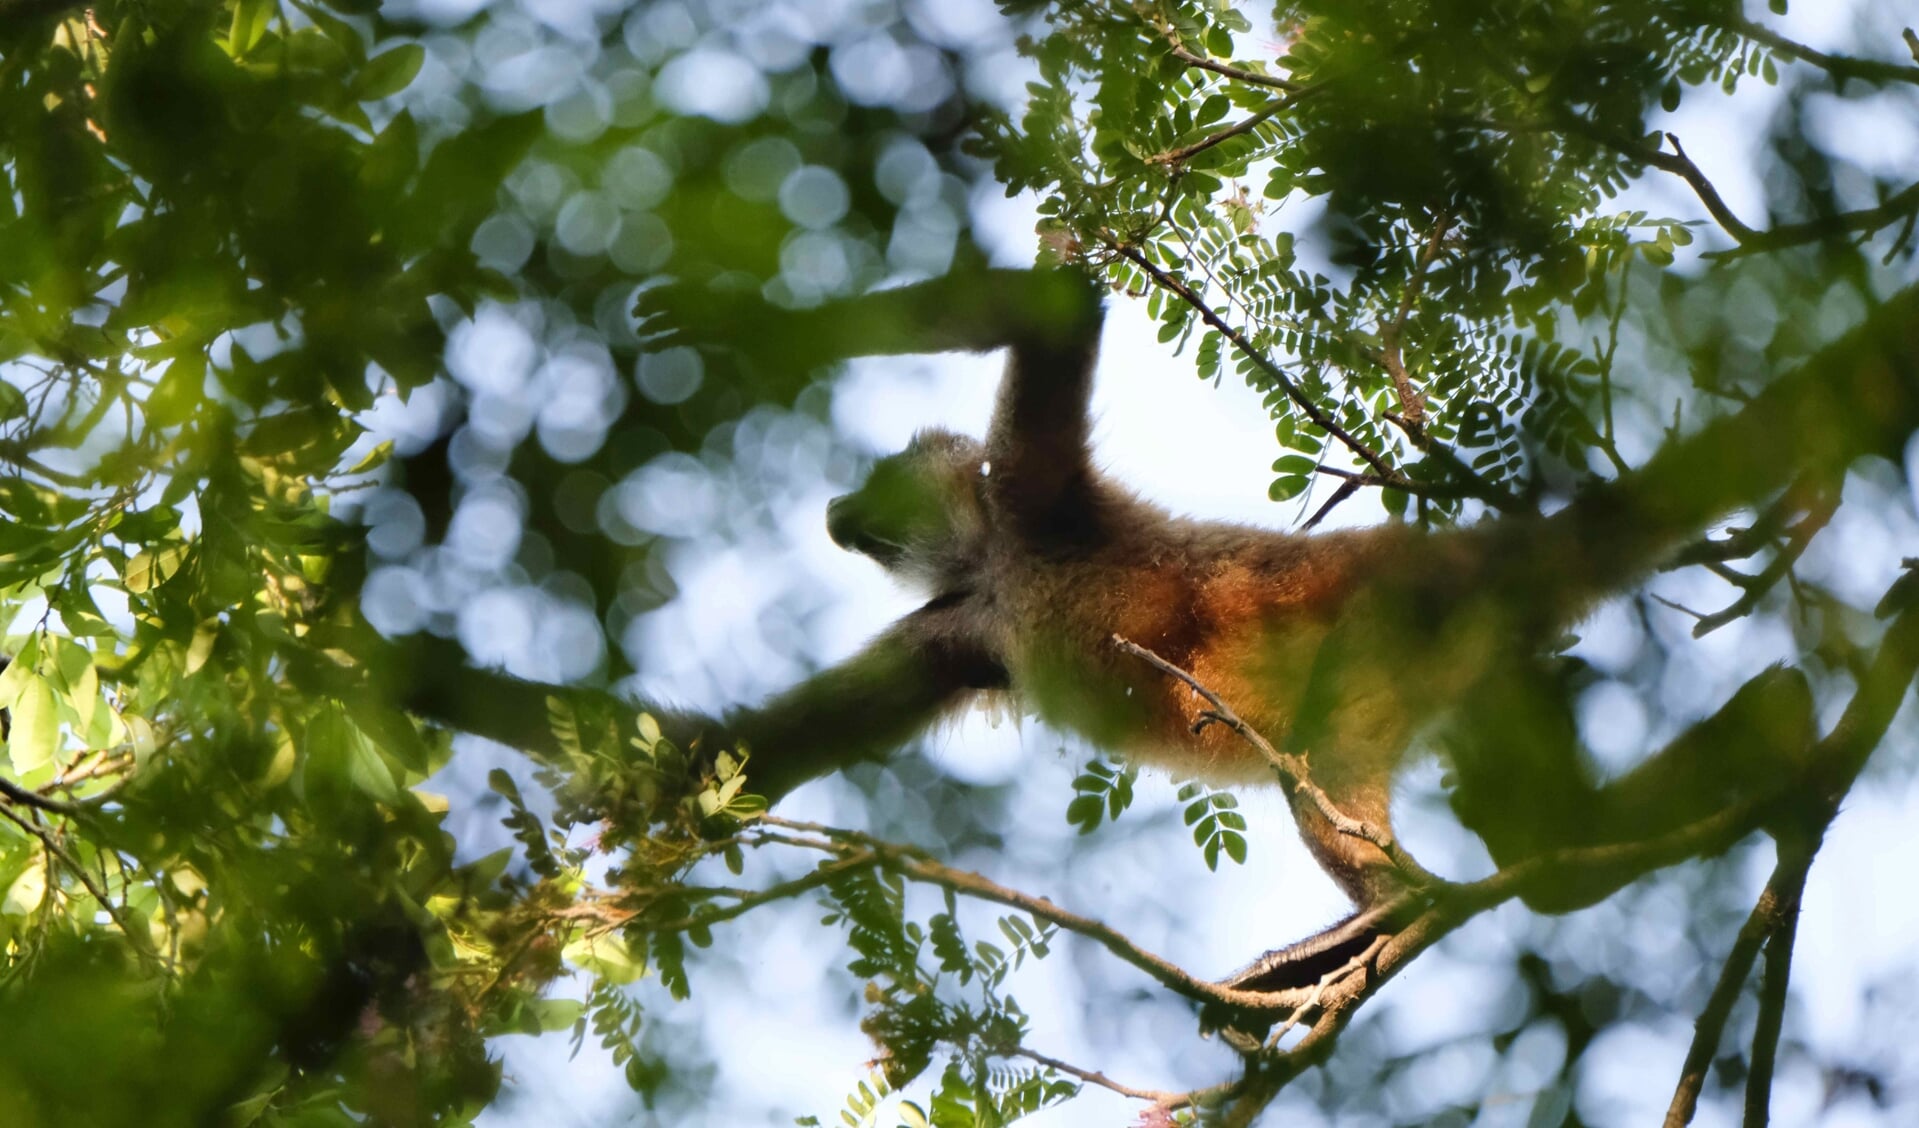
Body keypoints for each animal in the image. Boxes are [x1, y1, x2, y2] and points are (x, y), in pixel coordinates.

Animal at [397, 266, 1919, 997]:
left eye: (876, 480)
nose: (834, 509)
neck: (1000, 567)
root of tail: (1438, 558)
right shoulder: (961, 628)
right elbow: (724, 753)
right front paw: (403, 664)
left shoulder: (1039, 505)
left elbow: (1054, 306)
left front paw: (739, 322)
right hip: (1469, 674)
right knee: (1536, 843)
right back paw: (1767, 748)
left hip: (1359, 656)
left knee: (1378, 826)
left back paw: (1389, 911)